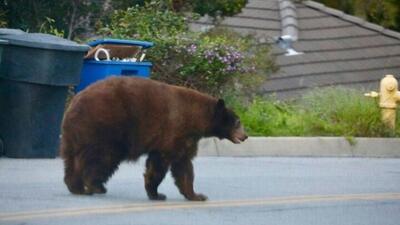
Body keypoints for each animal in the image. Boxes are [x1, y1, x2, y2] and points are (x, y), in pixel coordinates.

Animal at [60, 76, 247, 201]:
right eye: (237, 122)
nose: (245, 136)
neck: (196, 117)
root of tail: (74, 102)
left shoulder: (186, 138)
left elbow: (184, 166)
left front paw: (196, 195)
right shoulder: (174, 131)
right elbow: (160, 163)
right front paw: (157, 193)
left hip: (74, 135)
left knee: (73, 159)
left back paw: (77, 186)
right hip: (104, 127)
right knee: (101, 158)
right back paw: (91, 186)